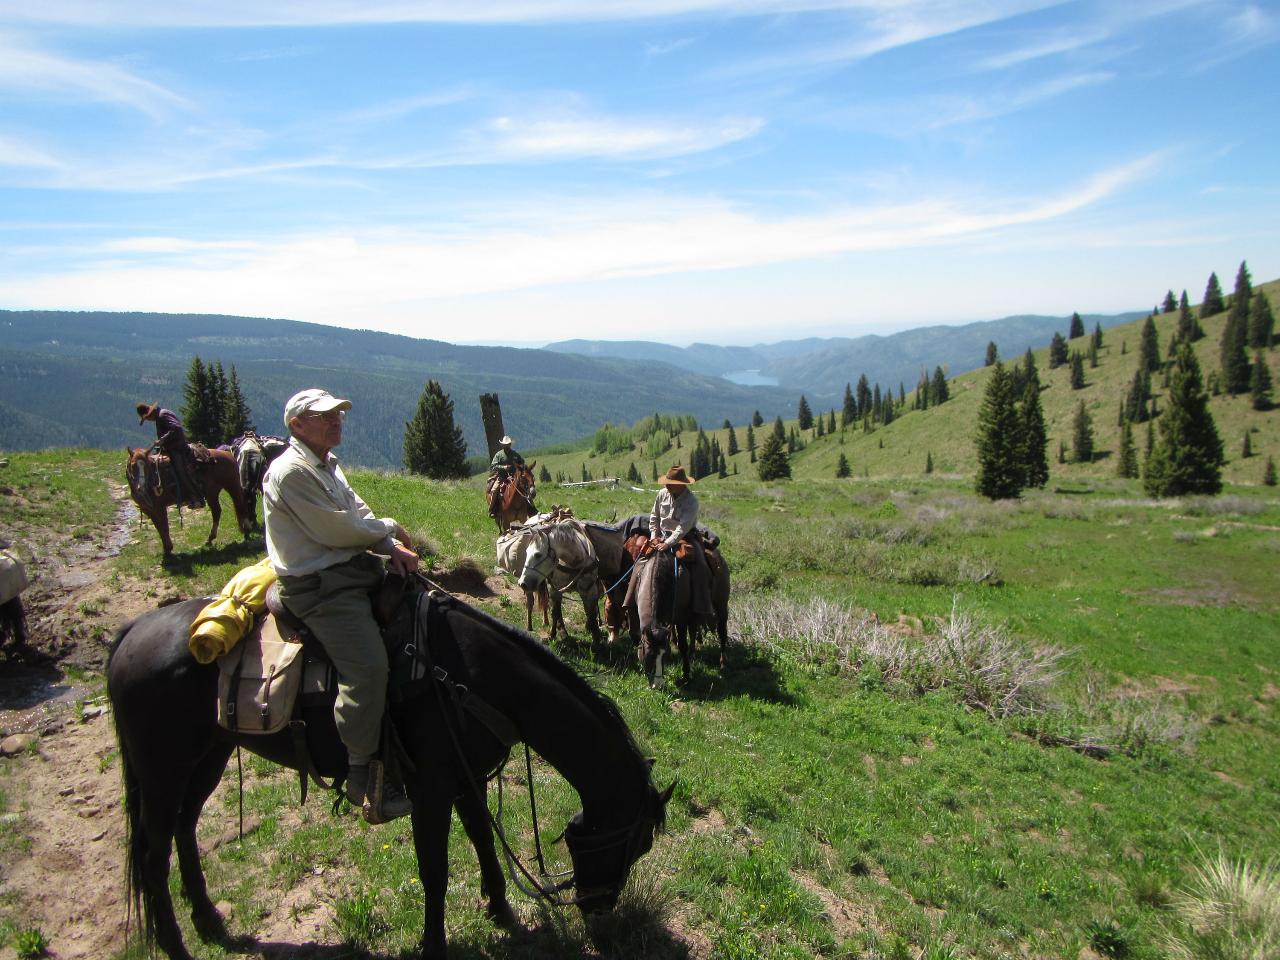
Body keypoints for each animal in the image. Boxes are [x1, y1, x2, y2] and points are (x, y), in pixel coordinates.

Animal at [104, 591, 675, 957]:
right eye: (637, 842)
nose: (599, 913)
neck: (473, 678)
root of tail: (131, 633)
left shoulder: (466, 778)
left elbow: (482, 841)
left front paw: (501, 911)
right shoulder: (431, 790)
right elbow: (436, 869)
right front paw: (435, 944)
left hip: (209, 756)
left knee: (184, 830)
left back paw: (208, 920)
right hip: (162, 771)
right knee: (153, 855)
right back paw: (176, 945)